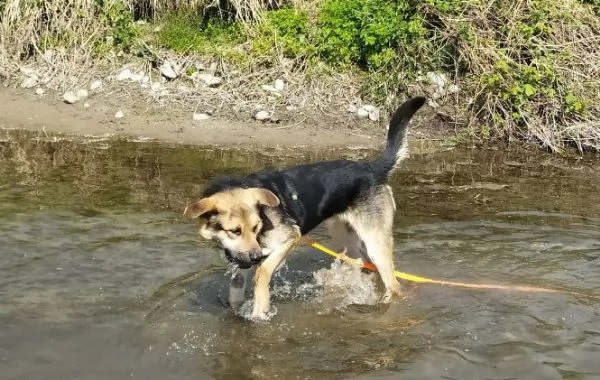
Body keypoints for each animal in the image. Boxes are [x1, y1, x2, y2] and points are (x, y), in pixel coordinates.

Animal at [184, 96, 426, 320]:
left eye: (256, 227)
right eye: (235, 231)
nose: (255, 256)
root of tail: (372, 168)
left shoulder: (290, 238)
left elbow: (263, 271)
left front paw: (261, 309)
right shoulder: (240, 260)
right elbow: (236, 289)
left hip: (375, 242)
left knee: (393, 284)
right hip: (346, 238)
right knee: (363, 263)